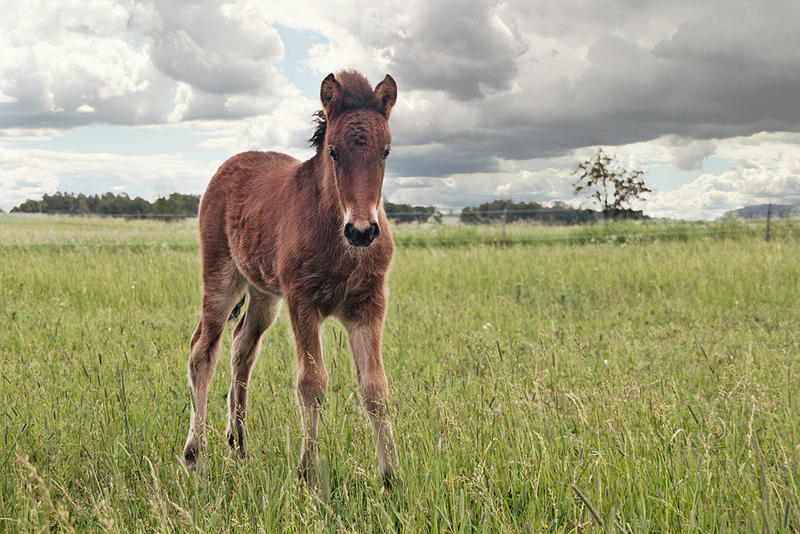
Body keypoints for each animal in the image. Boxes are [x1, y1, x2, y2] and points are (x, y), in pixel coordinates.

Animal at [185, 70, 404, 486]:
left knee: (242, 347)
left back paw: (239, 444)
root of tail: (230, 164)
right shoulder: (303, 302)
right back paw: (194, 456)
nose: (362, 231)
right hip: (221, 277)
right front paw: (307, 473)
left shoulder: (369, 305)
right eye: (333, 151)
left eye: (386, 151)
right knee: (203, 350)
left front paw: (392, 479)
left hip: (264, 294)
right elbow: (311, 383)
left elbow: (376, 388)